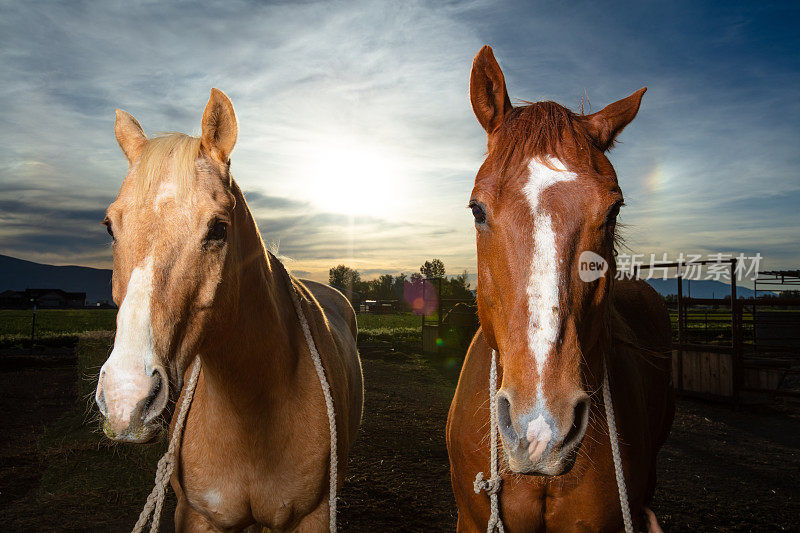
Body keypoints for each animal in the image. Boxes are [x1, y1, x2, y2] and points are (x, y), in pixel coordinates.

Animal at [94, 88, 366, 528]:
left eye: (218, 228)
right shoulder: (198, 516)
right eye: (109, 226)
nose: (126, 396)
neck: (250, 413)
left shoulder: (314, 516)